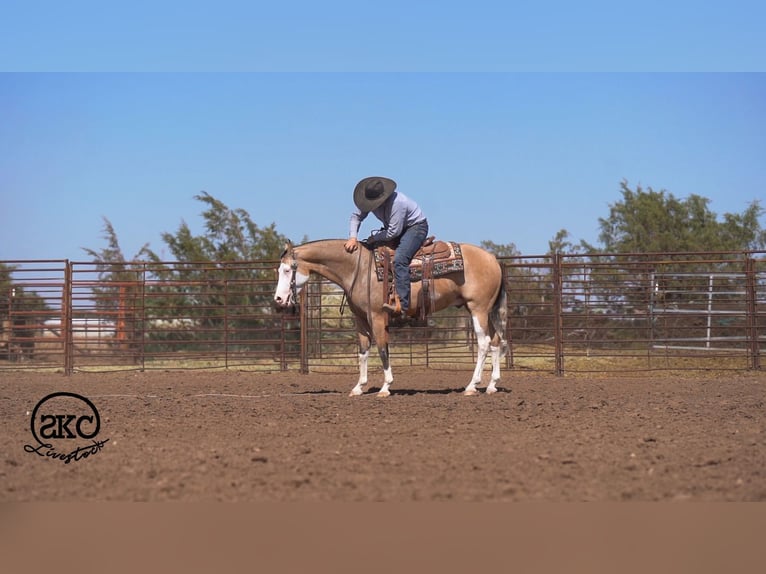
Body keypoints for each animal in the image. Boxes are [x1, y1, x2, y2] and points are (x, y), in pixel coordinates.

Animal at [273, 239, 508, 397]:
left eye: (287, 270)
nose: (278, 299)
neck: (358, 268)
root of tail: (493, 260)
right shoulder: (360, 319)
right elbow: (363, 352)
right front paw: (358, 387)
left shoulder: (377, 316)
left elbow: (382, 348)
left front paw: (385, 387)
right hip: (483, 311)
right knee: (496, 341)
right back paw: (491, 385)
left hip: (478, 309)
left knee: (484, 343)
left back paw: (471, 386)